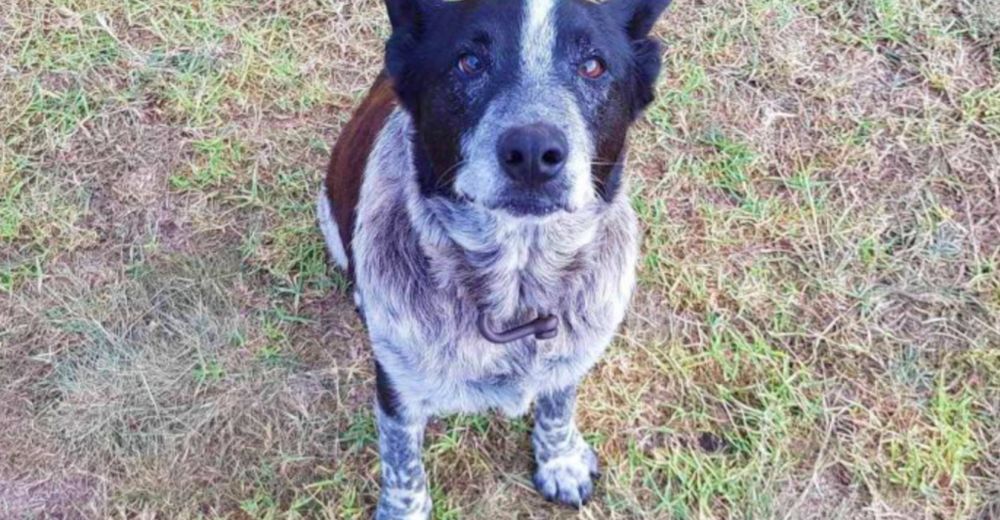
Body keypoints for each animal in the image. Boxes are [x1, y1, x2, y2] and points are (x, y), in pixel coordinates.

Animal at [320, 0, 672, 516]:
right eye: (469, 62)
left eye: (593, 66)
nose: (533, 151)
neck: (516, 289)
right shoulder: (398, 388)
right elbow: (402, 463)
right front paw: (405, 508)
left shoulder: (571, 355)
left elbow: (557, 406)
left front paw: (560, 461)